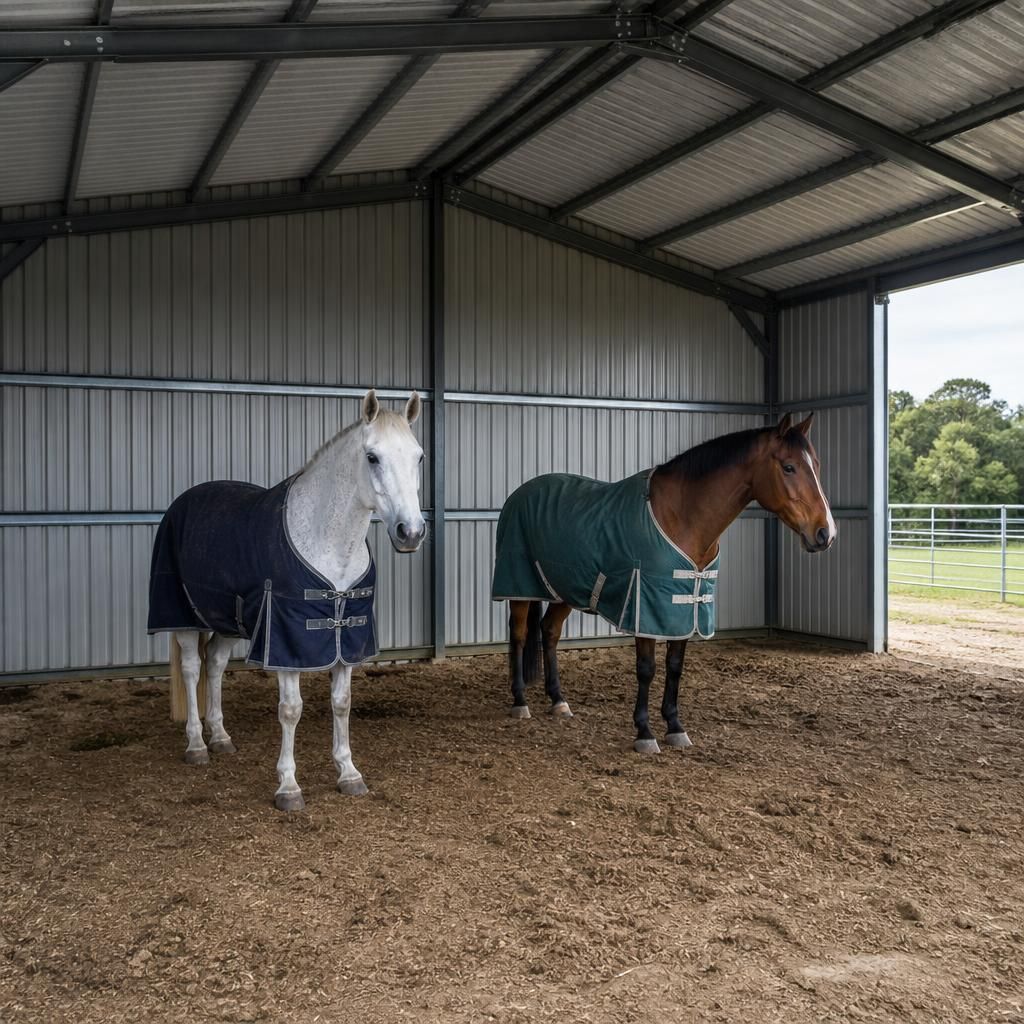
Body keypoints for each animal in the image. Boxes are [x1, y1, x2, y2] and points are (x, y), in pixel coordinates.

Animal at [147, 389, 426, 810]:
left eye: (419, 456)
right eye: (372, 457)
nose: (410, 532)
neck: (330, 545)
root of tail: (182, 502)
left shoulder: (345, 637)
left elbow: (341, 703)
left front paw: (349, 773)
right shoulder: (285, 641)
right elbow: (291, 710)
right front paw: (289, 787)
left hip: (230, 622)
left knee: (215, 665)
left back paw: (221, 738)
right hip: (184, 618)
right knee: (194, 668)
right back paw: (197, 744)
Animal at [492, 413, 836, 752]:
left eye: (817, 465)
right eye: (789, 467)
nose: (825, 534)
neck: (682, 516)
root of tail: (520, 493)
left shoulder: (683, 606)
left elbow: (674, 667)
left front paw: (675, 727)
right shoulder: (646, 605)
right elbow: (647, 669)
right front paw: (644, 732)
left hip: (565, 588)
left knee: (549, 632)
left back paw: (559, 701)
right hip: (519, 585)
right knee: (519, 635)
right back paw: (520, 701)